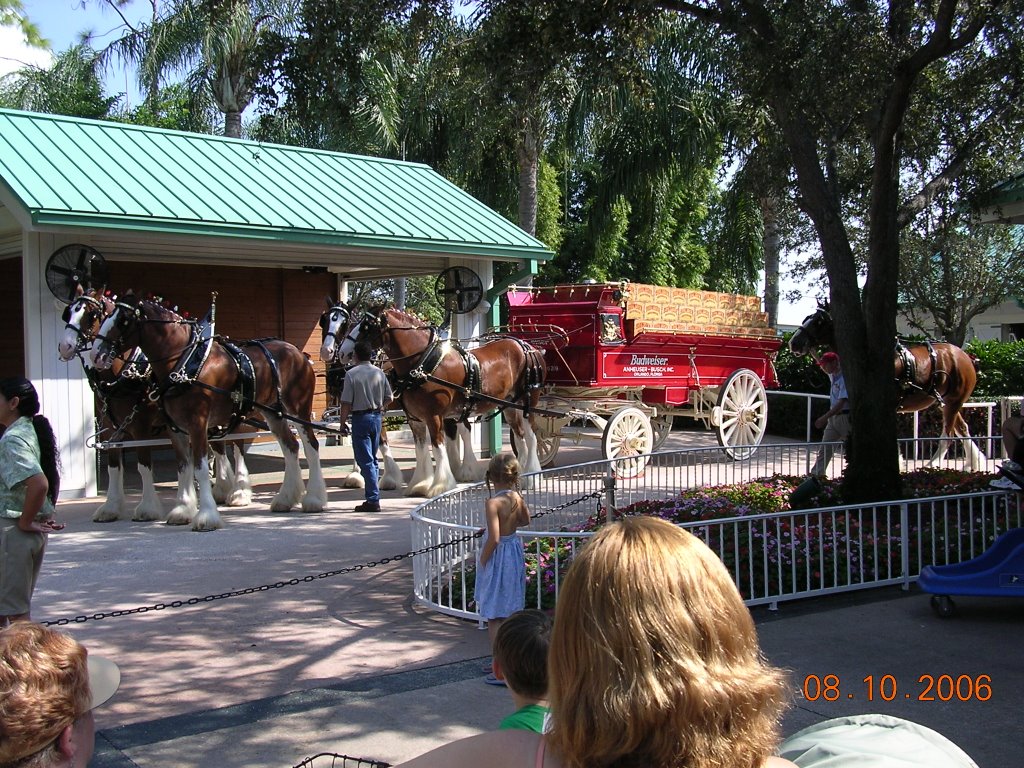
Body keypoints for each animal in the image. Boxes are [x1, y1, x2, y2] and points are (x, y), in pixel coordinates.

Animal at [58, 290, 253, 528]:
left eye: (91, 315)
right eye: (68, 313)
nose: (65, 346)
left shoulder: (141, 427)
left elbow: (144, 465)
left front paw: (148, 508)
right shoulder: (112, 428)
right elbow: (114, 467)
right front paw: (110, 507)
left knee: (238, 448)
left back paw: (239, 493)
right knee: (220, 448)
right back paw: (222, 490)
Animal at [92, 290, 325, 532]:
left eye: (123, 319)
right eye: (105, 316)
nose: (96, 354)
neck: (184, 365)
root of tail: (297, 352)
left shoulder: (196, 423)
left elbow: (200, 468)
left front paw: (206, 516)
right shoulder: (174, 428)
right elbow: (183, 467)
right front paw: (182, 510)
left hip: (298, 410)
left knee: (311, 446)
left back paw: (313, 499)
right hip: (273, 413)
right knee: (291, 447)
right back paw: (285, 499)